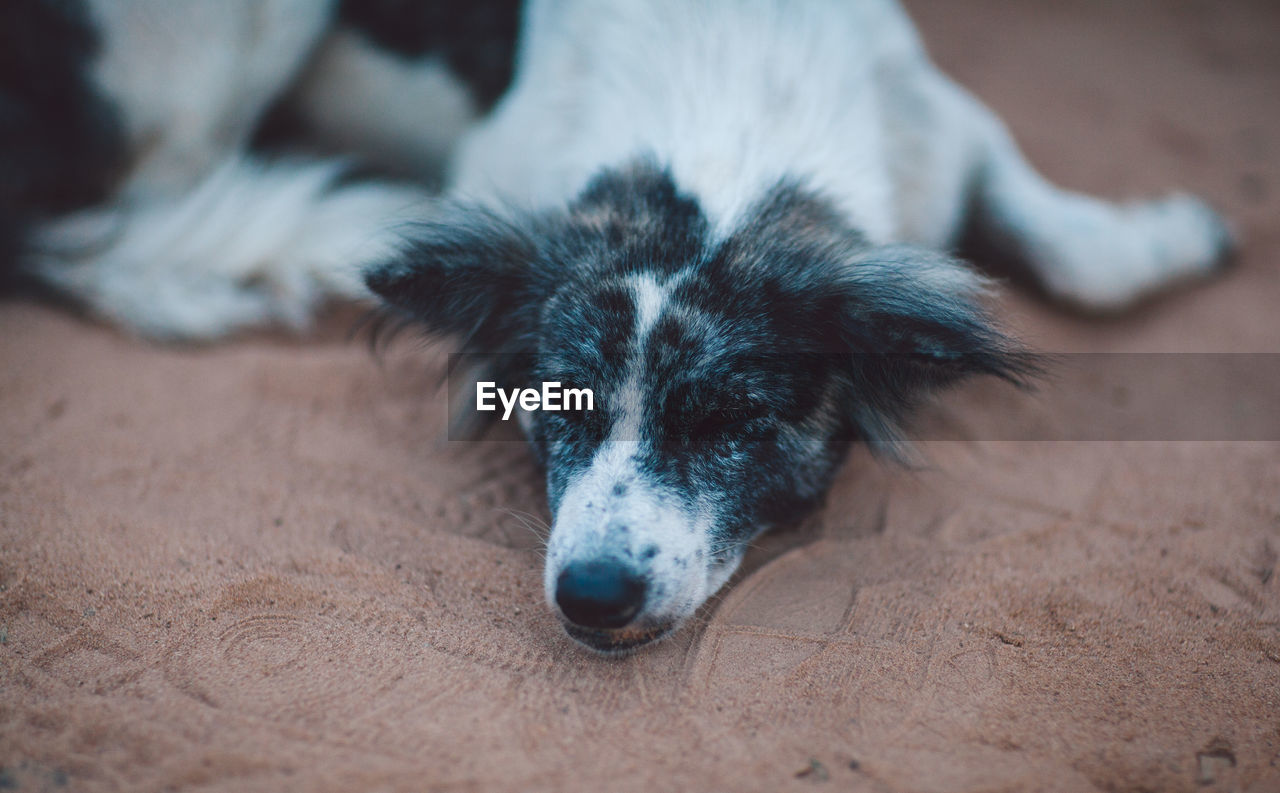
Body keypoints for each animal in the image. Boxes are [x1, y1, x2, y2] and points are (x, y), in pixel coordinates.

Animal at [5, 1, 1233, 654]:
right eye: (556, 405)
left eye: (732, 424)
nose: (592, 595)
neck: (726, 107)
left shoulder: (933, 114)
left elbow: (1068, 250)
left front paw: (1159, 239)